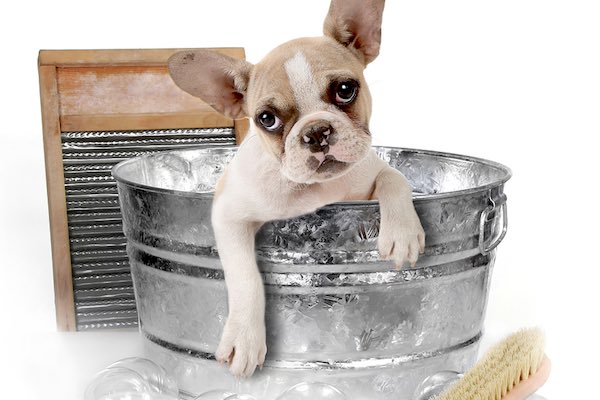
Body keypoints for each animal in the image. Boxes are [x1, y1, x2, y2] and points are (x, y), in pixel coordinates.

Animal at [166, 0, 424, 378]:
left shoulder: (371, 172)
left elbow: (396, 179)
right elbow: (245, 277)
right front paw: (245, 338)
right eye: (266, 119)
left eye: (345, 90)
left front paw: (403, 232)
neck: (314, 188)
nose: (316, 132)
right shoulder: (229, 216)